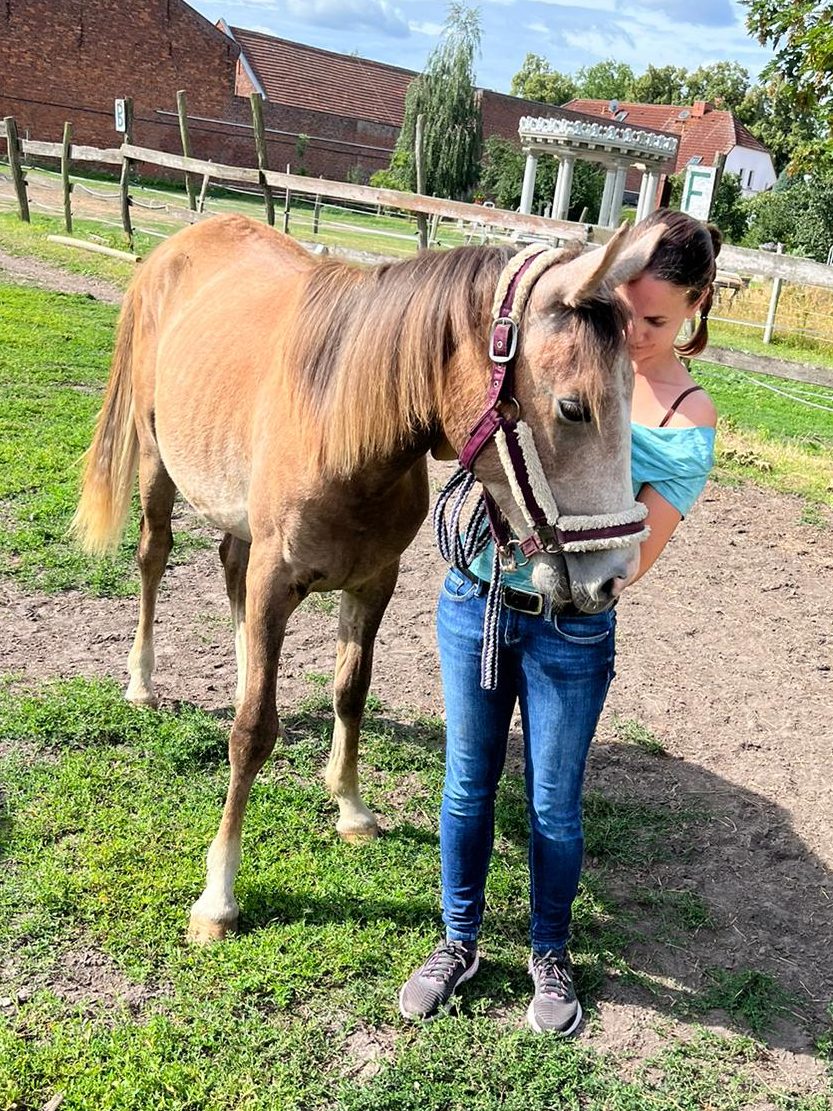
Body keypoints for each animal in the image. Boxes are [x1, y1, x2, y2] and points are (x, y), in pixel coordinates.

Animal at [72, 213, 663, 942]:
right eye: (573, 407)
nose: (611, 578)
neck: (342, 423)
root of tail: (180, 242)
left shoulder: (374, 582)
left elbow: (350, 692)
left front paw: (351, 808)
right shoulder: (277, 582)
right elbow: (252, 733)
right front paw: (218, 896)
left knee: (230, 570)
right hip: (157, 464)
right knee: (154, 558)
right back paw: (141, 680)